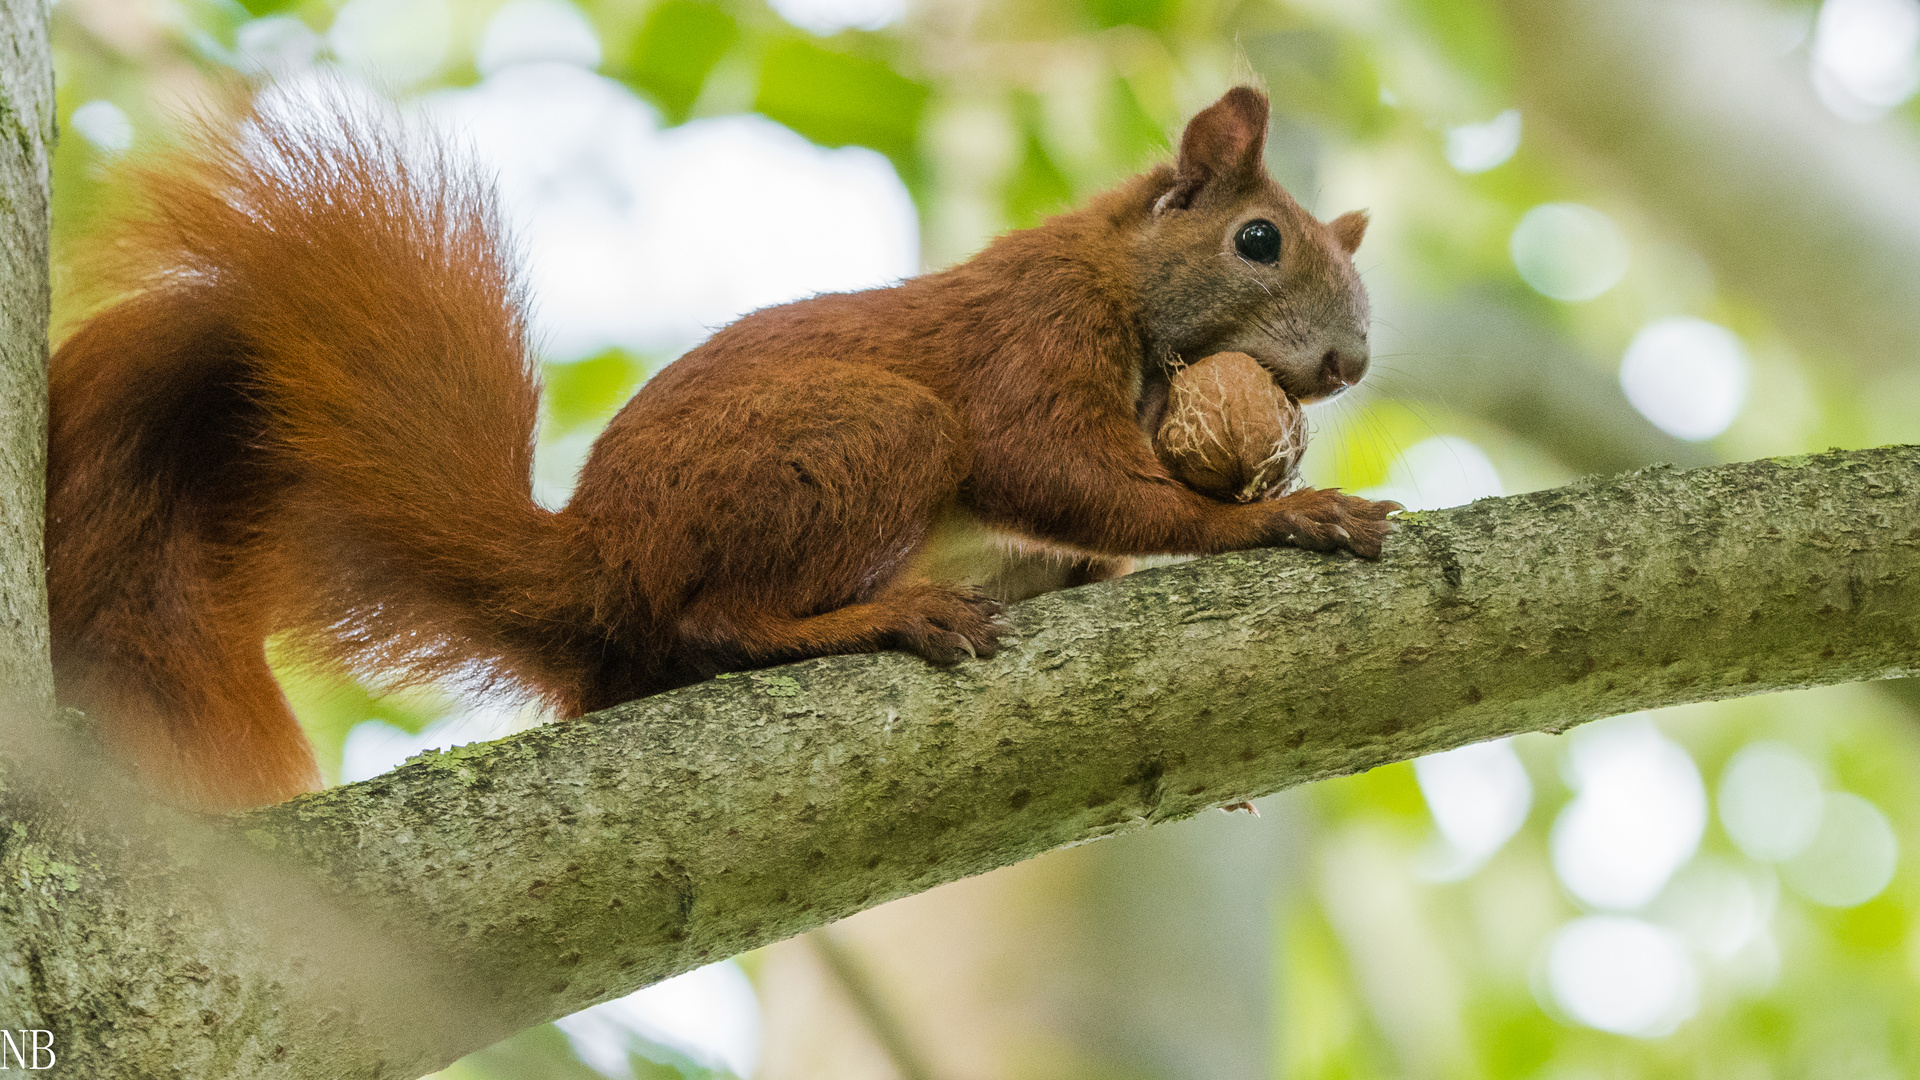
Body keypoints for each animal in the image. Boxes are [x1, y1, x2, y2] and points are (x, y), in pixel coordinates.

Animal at [45, 85, 1397, 807]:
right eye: (1259, 242)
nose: (1347, 366)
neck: (1117, 277)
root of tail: (594, 569)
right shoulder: (1028, 344)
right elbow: (1055, 473)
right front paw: (1274, 516)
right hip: (866, 435)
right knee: (715, 625)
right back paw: (878, 617)